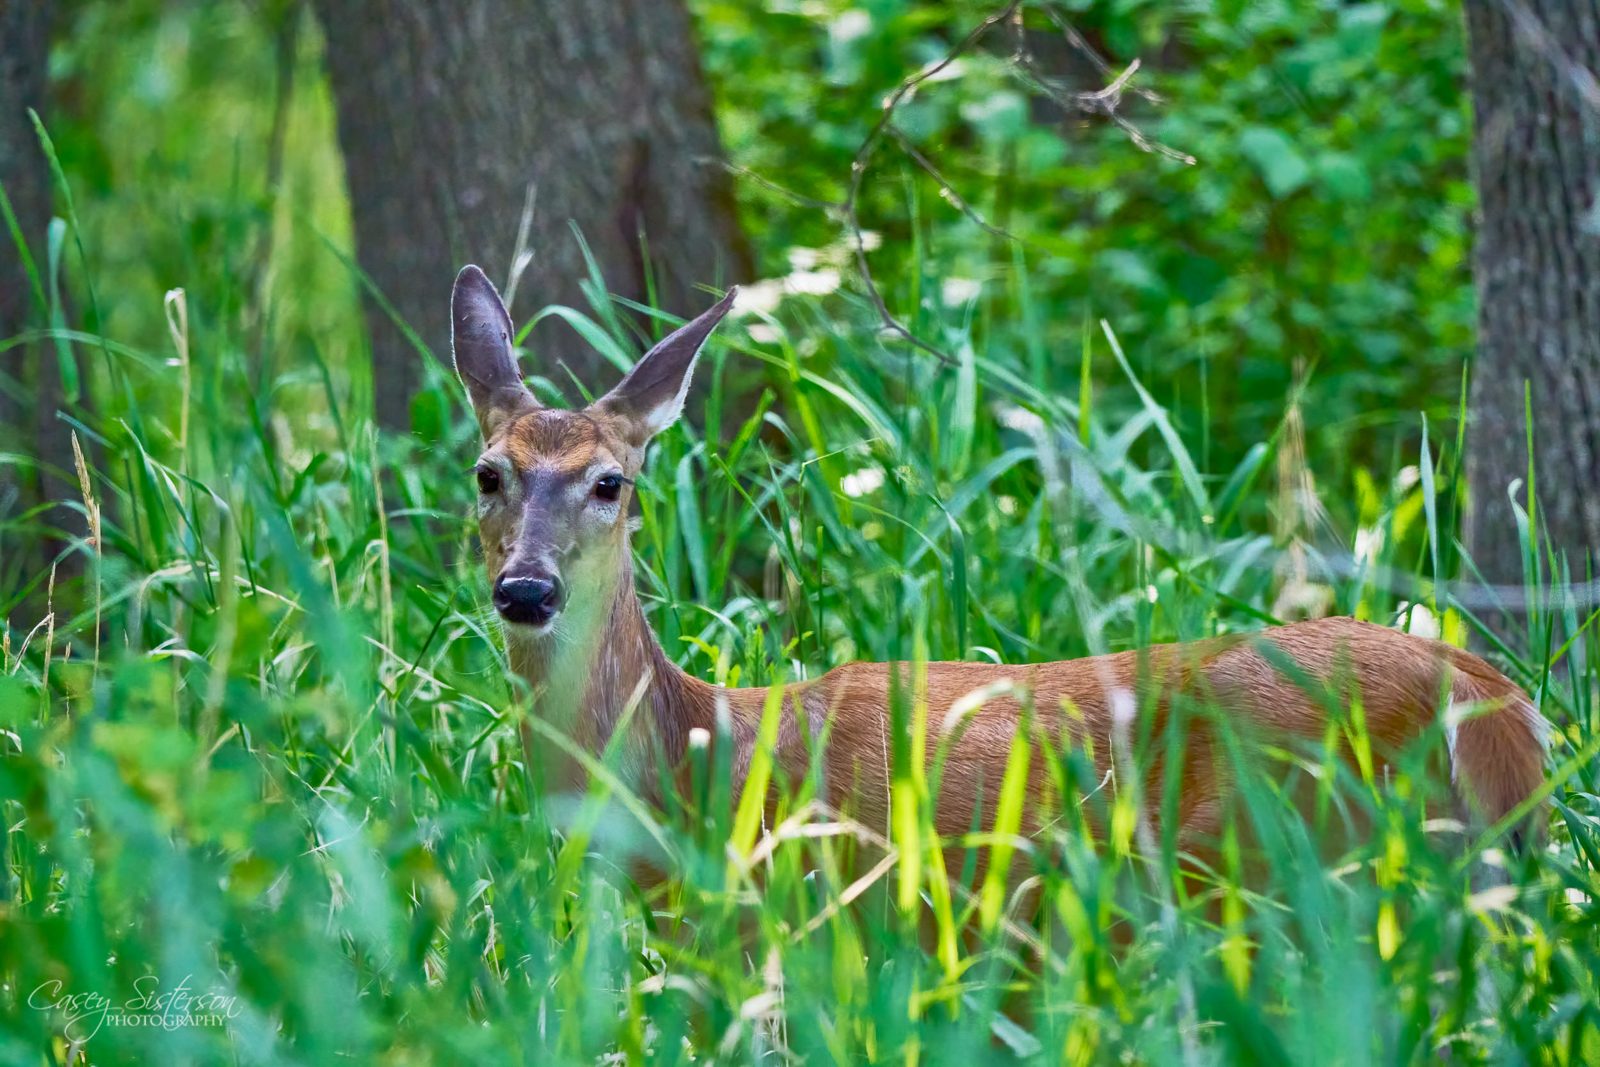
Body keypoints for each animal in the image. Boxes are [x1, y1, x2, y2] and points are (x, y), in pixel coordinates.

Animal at [448, 263, 1548, 882]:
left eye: (611, 482)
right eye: (488, 471)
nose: (527, 590)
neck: (691, 763)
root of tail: (1491, 698)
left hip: (1286, 849)